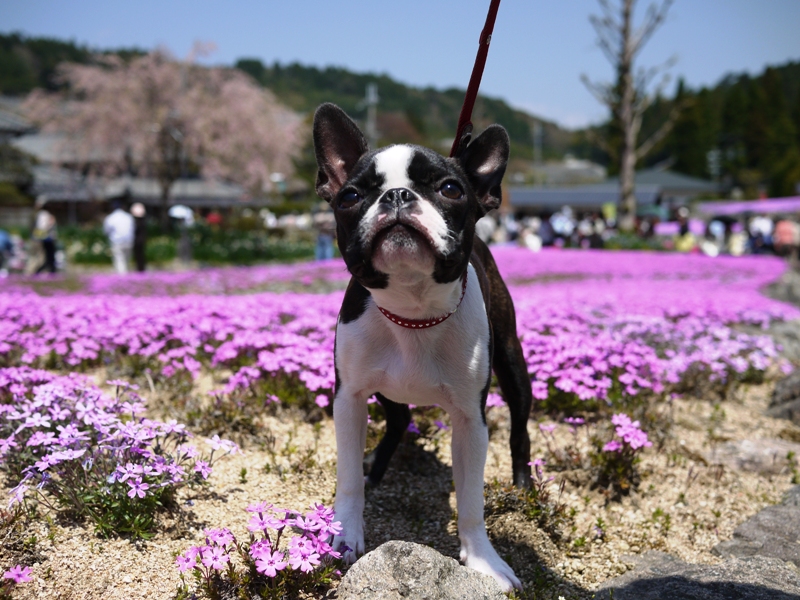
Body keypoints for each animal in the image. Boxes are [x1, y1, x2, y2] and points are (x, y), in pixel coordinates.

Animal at [316, 103, 536, 592]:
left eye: (450, 188)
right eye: (350, 196)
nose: (397, 196)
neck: (412, 310)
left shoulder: (471, 420)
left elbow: (471, 500)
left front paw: (484, 561)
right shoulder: (349, 397)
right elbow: (347, 480)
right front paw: (345, 536)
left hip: (513, 365)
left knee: (520, 430)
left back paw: (524, 485)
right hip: (383, 388)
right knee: (398, 420)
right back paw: (375, 467)